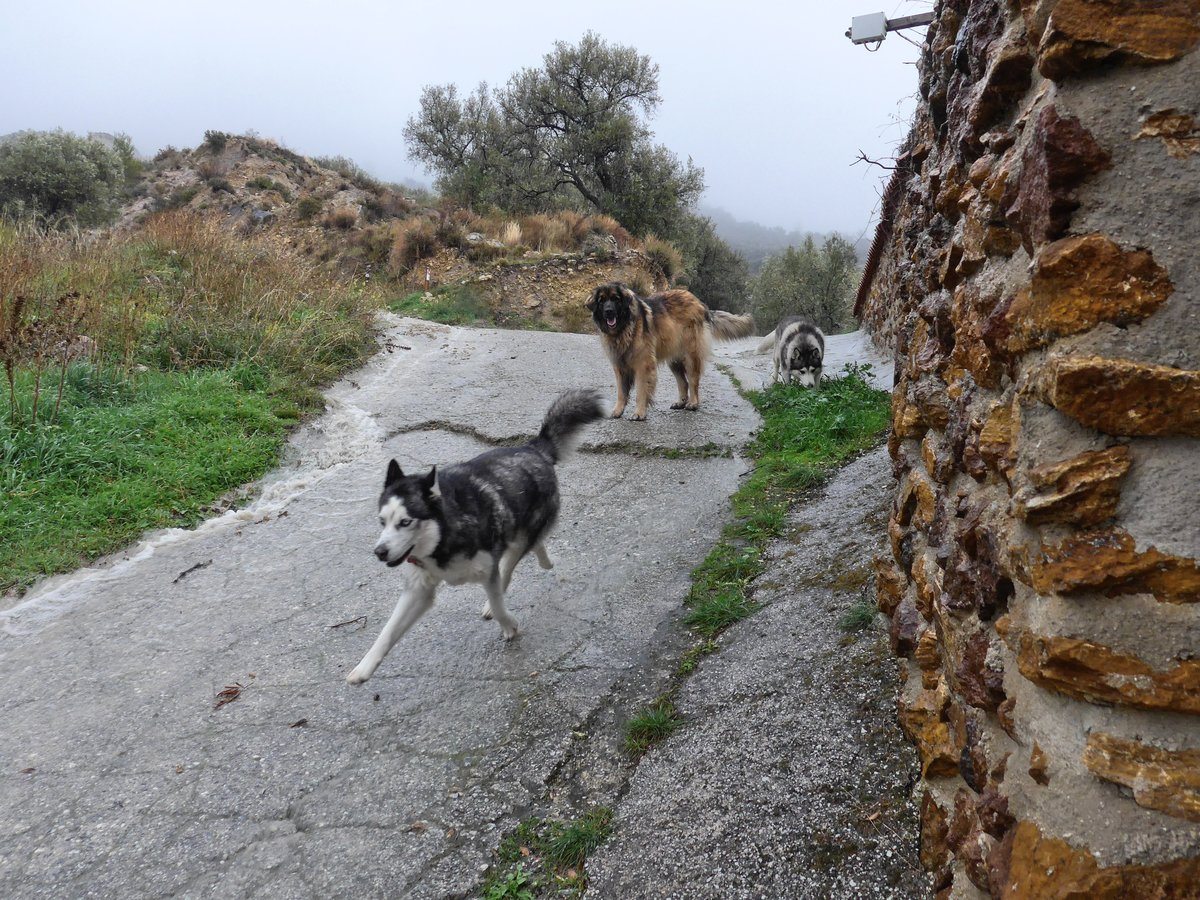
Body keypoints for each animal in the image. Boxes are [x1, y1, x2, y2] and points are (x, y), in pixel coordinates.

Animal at [588, 283, 748, 422]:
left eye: (616, 299)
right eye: (601, 301)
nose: (608, 311)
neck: (624, 328)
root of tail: (699, 302)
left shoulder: (643, 365)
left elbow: (641, 391)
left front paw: (639, 413)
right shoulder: (619, 366)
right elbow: (621, 392)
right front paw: (617, 411)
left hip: (691, 355)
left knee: (693, 380)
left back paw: (693, 403)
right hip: (674, 359)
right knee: (683, 382)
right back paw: (680, 402)